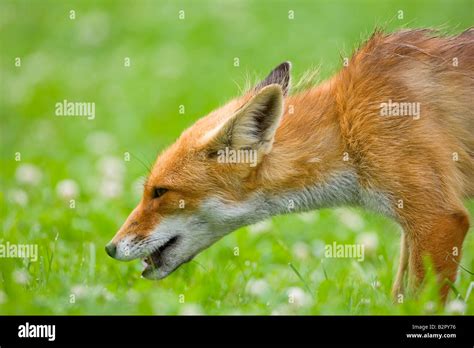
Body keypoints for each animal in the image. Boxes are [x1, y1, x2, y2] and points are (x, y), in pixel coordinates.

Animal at [106, 29, 474, 300]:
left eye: (160, 192)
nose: (110, 248)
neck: (348, 126)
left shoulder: (438, 217)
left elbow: (423, 300)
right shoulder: (412, 227)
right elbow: (400, 295)